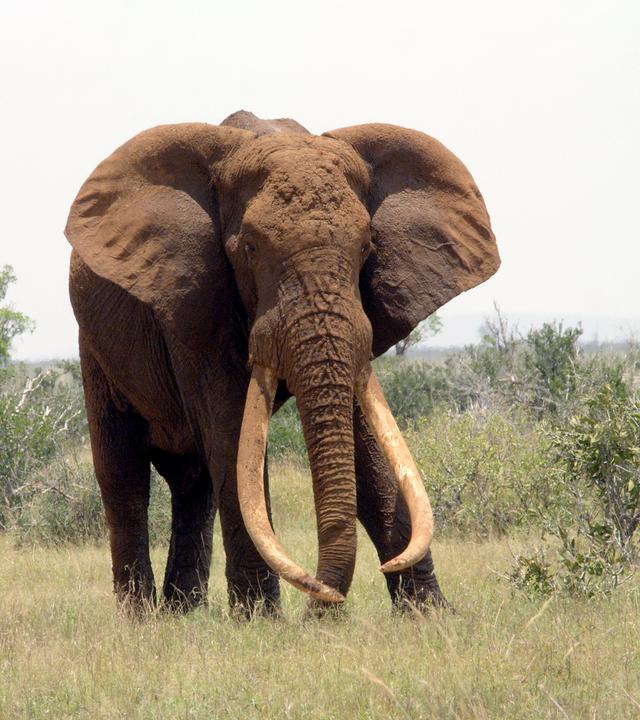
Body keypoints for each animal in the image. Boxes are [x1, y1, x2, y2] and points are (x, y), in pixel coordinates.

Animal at [65, 110, 499, 616]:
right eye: (250, 248)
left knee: (194, 481)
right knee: (124, 475)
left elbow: (364, 440)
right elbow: (232, 435)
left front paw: (426, 614)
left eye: (367, 247)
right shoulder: (196, 300)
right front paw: (259, 620)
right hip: (95, 348)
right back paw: (142, 618)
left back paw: (183, 612)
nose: (323, 602)